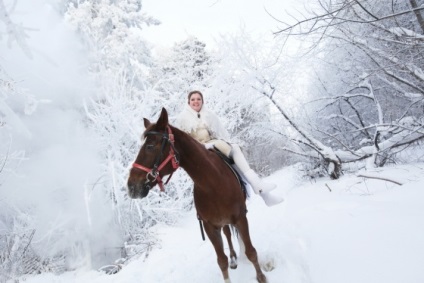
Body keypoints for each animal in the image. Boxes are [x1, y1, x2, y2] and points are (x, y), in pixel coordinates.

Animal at [126, 108, 266, 283]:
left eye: (150, 146)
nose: (131, 186)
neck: (213, 184)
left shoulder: (240, 218)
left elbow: (251, 251)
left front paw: (261, 277)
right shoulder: (209, 227)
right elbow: (222, 261)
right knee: (227, 233)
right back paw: (234, 258)